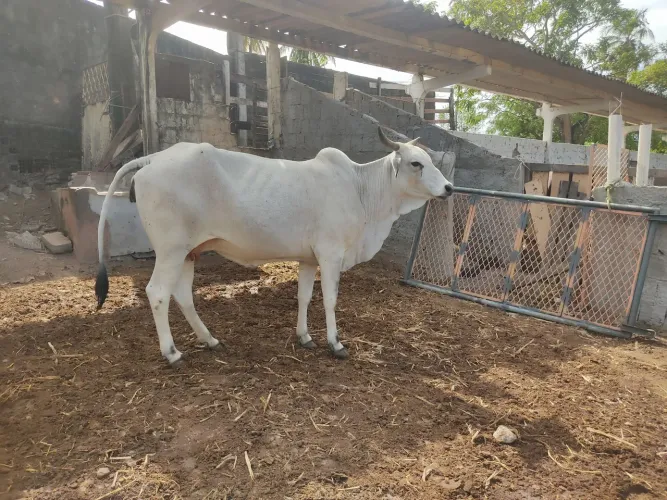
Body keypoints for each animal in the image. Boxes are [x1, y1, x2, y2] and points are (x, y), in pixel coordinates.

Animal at [95, 127, 453, 367]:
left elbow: (304, 296)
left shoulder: (309, 258)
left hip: (188, 251)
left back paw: (210, 340)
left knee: (182, 295)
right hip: (170, 250)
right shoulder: (331, 254)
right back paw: (172, 353)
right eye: (416, 163)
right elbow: (330, 300)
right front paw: (335, 344)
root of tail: (152, 159)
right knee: (157, 292)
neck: (360, 189)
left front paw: (305, 337)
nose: (449, 188)